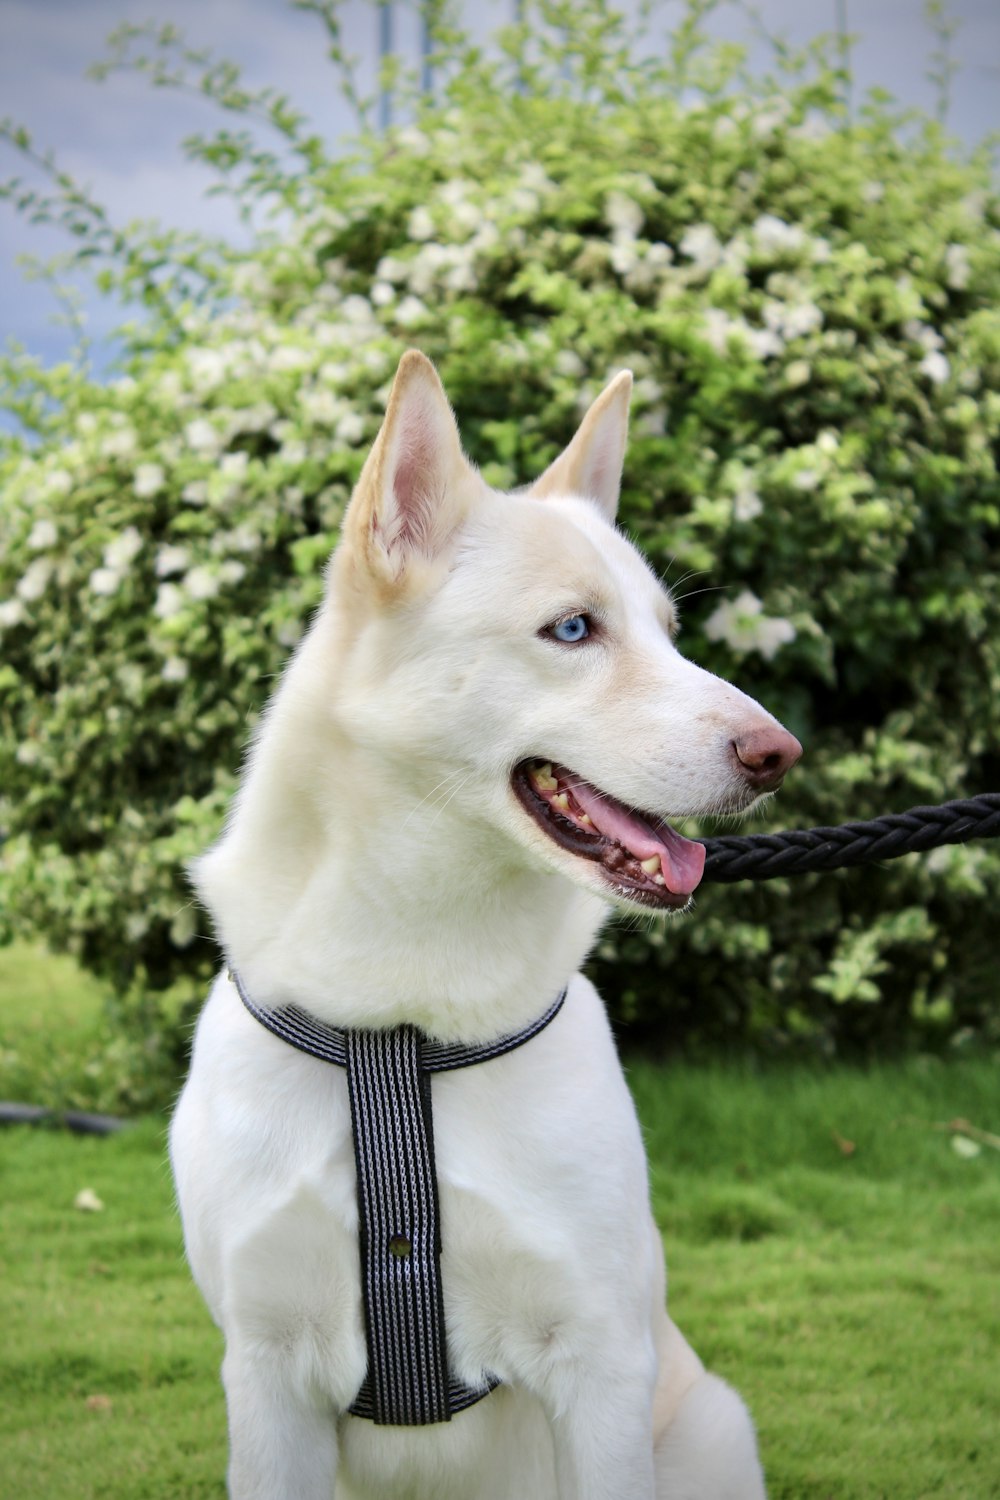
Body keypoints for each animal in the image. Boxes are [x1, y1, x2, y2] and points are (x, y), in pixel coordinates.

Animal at [170, 354, 797, 1500]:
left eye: (668, 635)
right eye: (572, 630)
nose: (781, 754)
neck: (404, 1016)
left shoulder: (600, 1366)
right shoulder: (266, 1375)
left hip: (709, 1425)